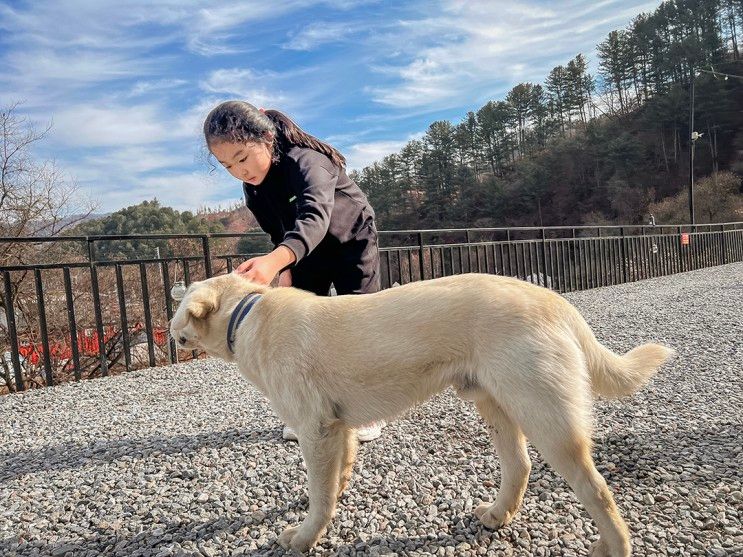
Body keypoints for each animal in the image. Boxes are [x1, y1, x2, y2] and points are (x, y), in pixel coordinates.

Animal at [169, 272, 676, 552]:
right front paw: (334, 495)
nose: (170, 333)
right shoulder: (337, 430)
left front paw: (304, 536)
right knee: (520, 465)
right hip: (494, 403)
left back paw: (613, 547)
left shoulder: (316, 429)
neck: (246, 315)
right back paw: (498, 514)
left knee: (597, 491)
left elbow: (319, 496)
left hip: (548, 419)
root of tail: (554, 300)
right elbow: (334, 481)